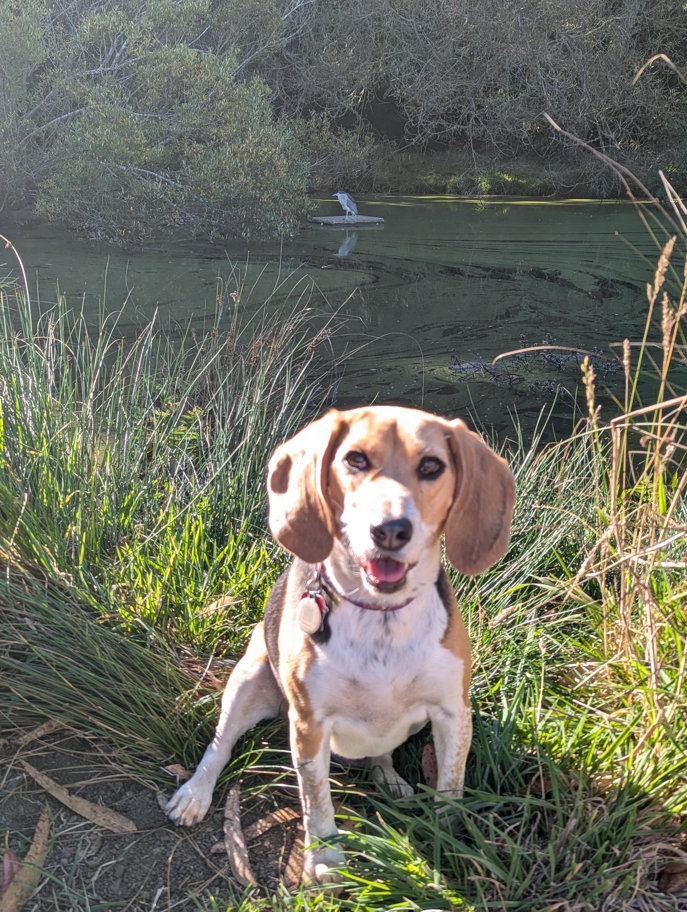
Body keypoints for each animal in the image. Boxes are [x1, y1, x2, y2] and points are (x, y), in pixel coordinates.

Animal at [164, 406, 512, 884]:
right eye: (356, 460)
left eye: (431, 466)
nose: (390, 530)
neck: (380, 615)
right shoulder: (310, 726)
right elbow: (317, 802)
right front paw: (326, 858)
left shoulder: (452, 714)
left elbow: (451, 787)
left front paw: (448, 843)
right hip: (248, 683)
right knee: (219, 747)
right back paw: (194, 793)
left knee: (381, 754)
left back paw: (390, 779)